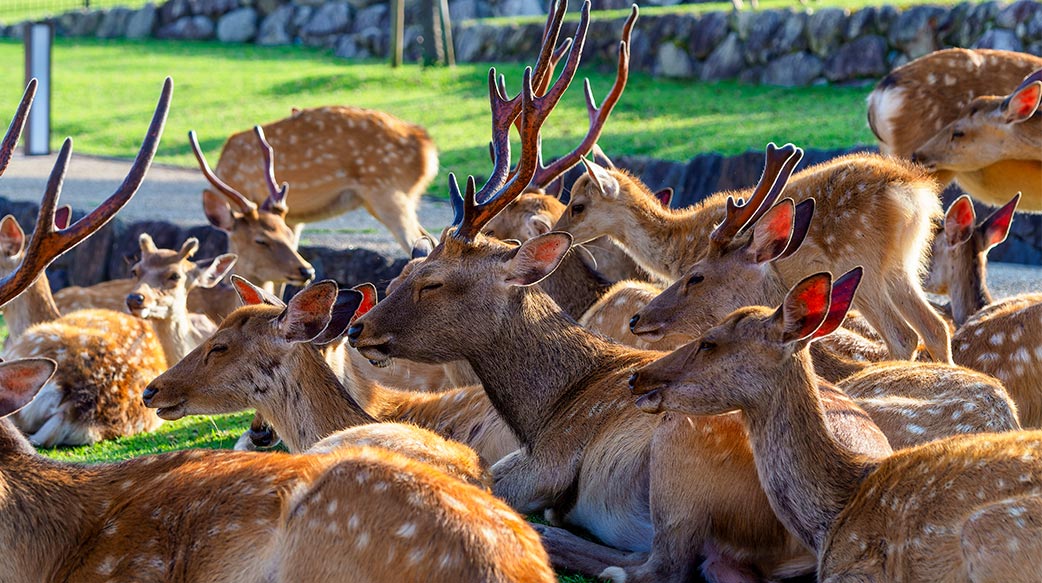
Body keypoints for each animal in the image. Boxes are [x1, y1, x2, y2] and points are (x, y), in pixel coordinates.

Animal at [555, 142, 953, 364]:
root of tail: (913, 192)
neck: (676, 246)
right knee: (936, 327)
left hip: (861, 262)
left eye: (577, 206)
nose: (556, 232)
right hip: (902, 265)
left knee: (903, 336)